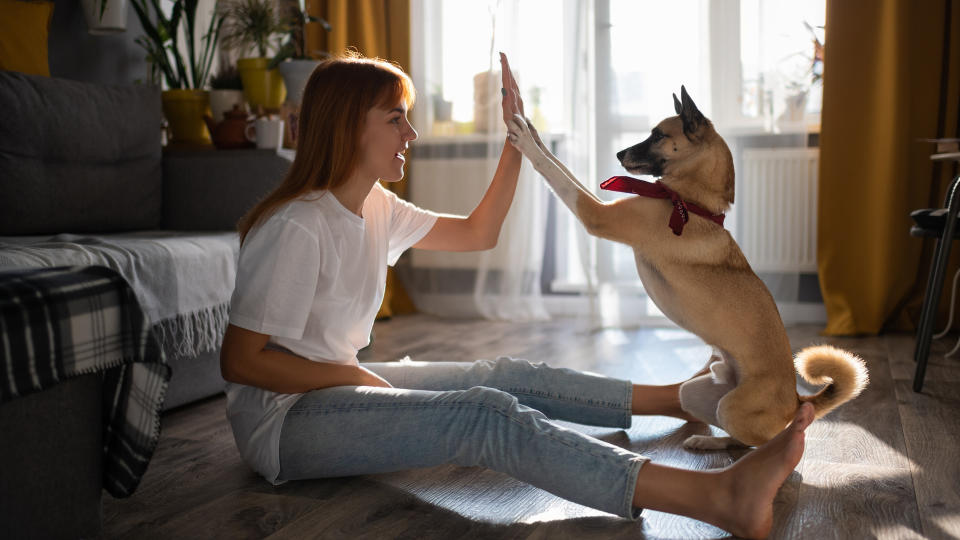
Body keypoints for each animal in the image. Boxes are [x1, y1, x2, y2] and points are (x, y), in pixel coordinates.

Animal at [510, 87, 872, 448]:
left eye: (658, 135)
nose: (618, 153)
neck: (690, 202)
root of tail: (797, 400)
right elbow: (561, 166)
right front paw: (532, 130)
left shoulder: (595, 213)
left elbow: (555, 173)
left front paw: (525, 140)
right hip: (694, 393)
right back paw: (707, 434)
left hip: (733, 408)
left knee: (752, 443)